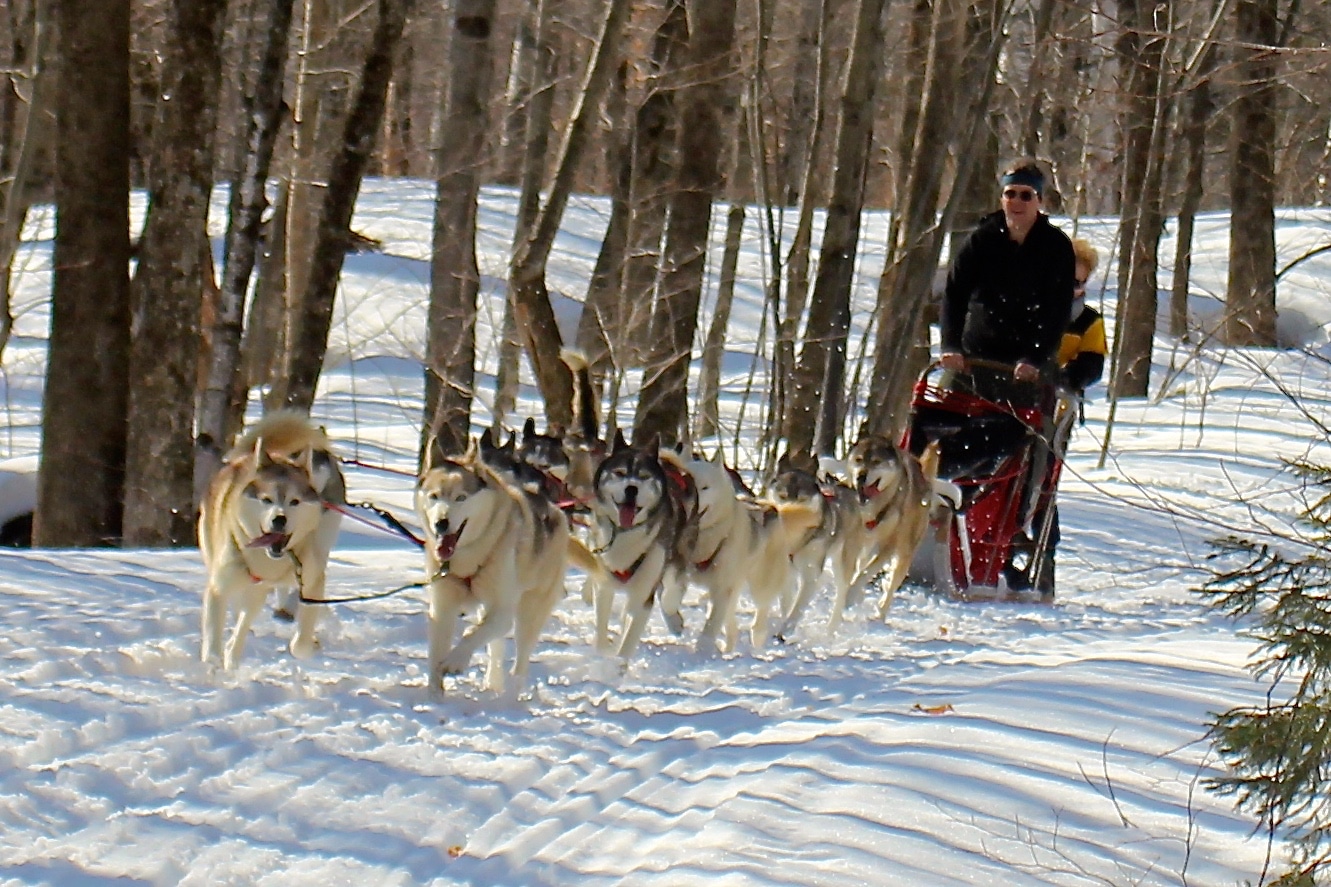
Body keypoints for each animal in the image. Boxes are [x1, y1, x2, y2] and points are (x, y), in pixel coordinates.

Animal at [198, 410, 346, 665]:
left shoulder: (312, 581)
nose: (280, 519)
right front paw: (214, 665)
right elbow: (213, 640)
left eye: (295, 501)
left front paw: (308, 643)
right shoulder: (219, 587)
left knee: (245, 621)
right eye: (266, 500)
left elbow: (301, 645)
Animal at [415, 442, 593, 692]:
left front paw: (456, 660)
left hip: (529, 613)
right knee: (495, 648)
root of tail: (555, 510)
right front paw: (433, 698)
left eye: (461, 497)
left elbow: (471, 635)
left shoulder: (503, 611)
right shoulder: (442, 609)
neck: (469, 558)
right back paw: (493, 684)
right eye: (434, 496)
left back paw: (512, 693)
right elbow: (437, 658)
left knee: (520, 660)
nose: (441, 523)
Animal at [766, 452, 867, 631]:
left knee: (841, 593)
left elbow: (796, 611)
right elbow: (787, 604)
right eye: (782, 496)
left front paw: (785, 631)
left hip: (843, 562)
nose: (789, 514)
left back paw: (831, 629)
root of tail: (847, 488)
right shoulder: (787, 572)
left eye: (802, 499)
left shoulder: (810, 576)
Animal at [846, 434, 942, 615]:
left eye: (876, 461)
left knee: (890, 588)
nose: (861, 476)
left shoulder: (888, 547)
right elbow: (857, 569)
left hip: (904, 552)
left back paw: (879, 615)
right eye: (858, 459)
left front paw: (850, 594)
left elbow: (865, 572)